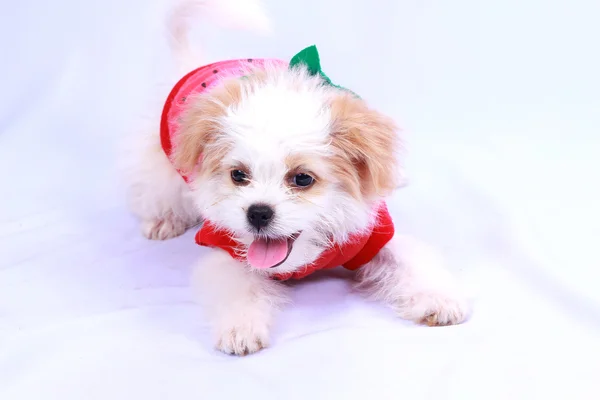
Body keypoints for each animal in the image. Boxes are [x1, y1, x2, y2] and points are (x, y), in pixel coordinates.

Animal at [129, 0, 472, 356]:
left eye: (303, 179)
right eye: (238, 175)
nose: (258, 213)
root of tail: (197, 63)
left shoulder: (374, 236)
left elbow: (408, 258)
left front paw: (438, 298)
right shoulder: (225, 249)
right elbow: (238, 287)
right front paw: (241, 327)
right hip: (159, 160)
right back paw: (164, 218)